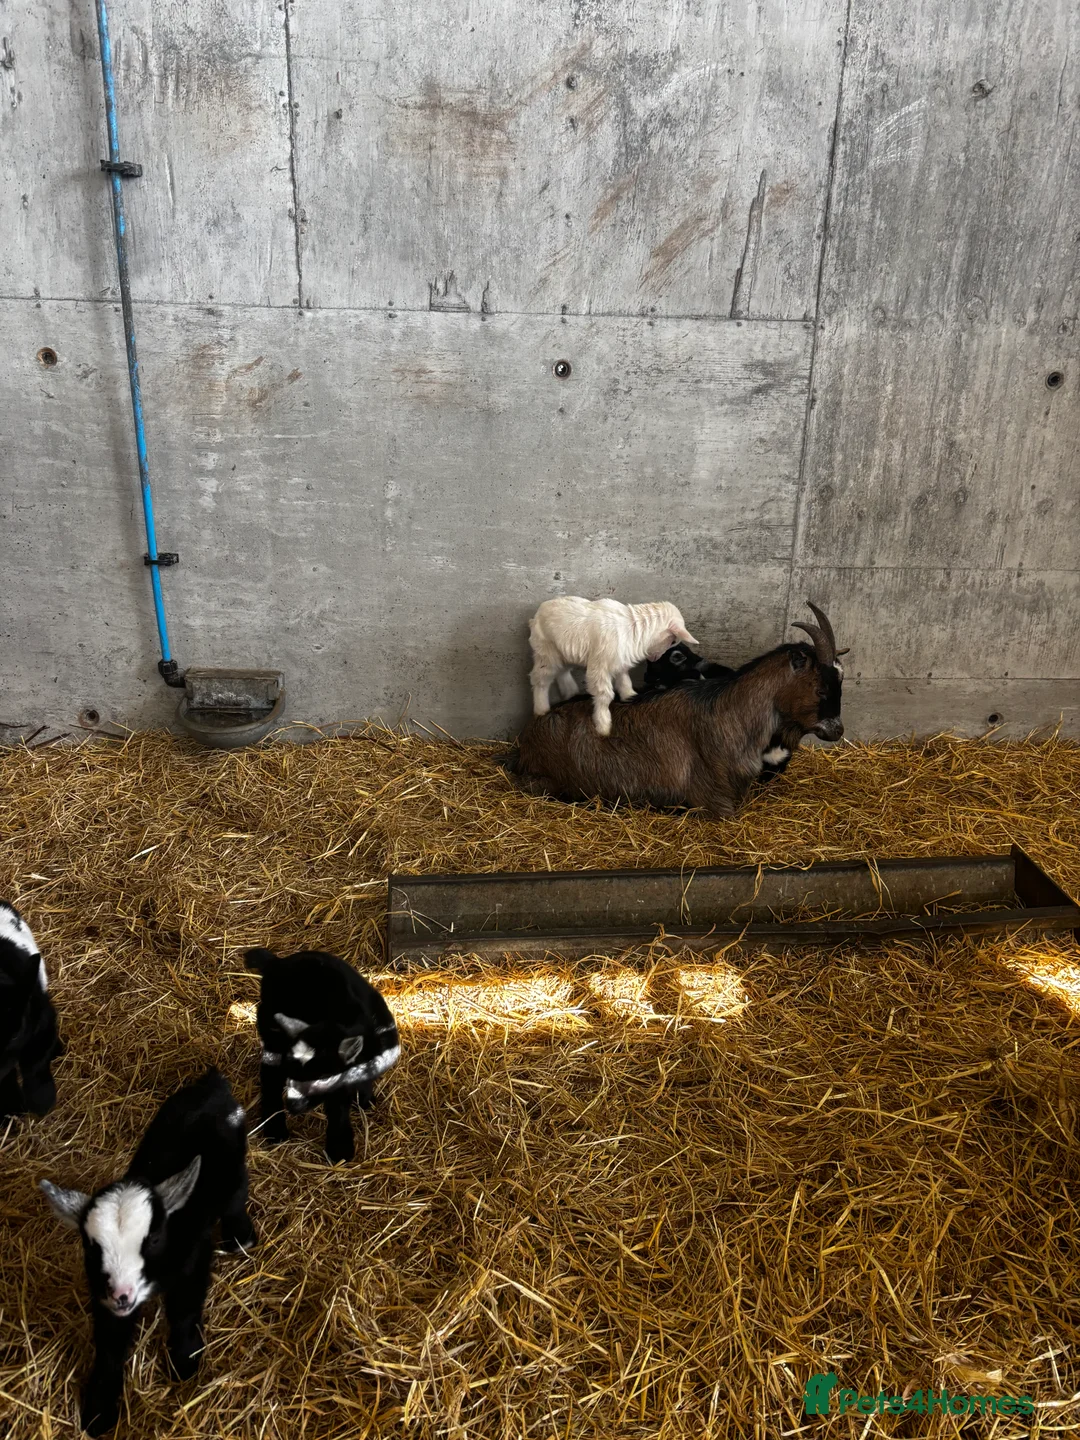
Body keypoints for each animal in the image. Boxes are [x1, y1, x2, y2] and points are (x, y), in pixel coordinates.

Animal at [41, 1068, 255, 1436]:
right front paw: (99, 1410)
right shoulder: (103, 1294)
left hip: (235, 1166)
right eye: (91, 1247)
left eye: (153, 1239)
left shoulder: (194, 1261)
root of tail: (213, 1083)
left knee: (237, 1194)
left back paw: (241, 1236)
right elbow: (110, 1347)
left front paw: (185, 1360)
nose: (123, 1295)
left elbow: (184, 1312)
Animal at [245, 948, 400, 1165]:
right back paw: (274, 1128)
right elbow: (338, 1106)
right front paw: (340, 1148)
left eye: (323, 1078)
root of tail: (276, 963)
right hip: (270, 1027)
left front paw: (365, 1100)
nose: (293, 1105)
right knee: (270, 1076)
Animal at [529, 596, 698, 737]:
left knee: (563, 672)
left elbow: (624, 681)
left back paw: (570, 692)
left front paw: (630, 697)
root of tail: (539, 611)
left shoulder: (619, 662)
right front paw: (603, 726)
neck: (634, 630)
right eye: (673, 640)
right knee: (540, 680)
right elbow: (604, 695)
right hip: (546, 653)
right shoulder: (600, 666)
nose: (654, 657)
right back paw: (541, 709)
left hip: (564, 652)